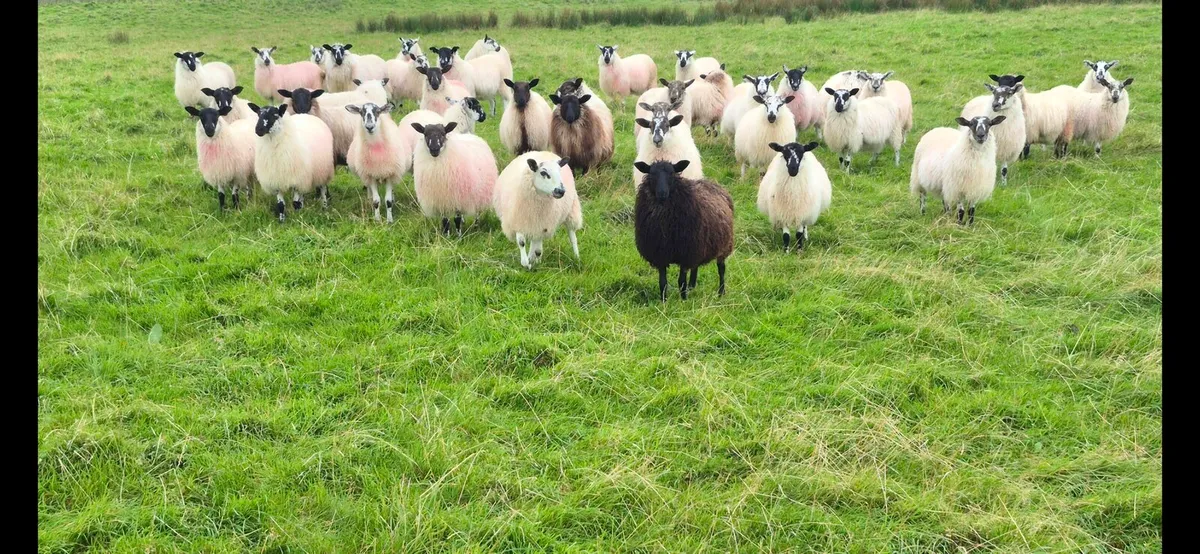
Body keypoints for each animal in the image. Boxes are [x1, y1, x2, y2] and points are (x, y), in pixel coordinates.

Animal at [634, 159, 734, 301]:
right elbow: (662, 282)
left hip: (724, 246)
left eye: (672, 173)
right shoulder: (660, 254)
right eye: (652, 174)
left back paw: (721, 292)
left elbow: (681, 281)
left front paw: (683, 300)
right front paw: (663, 301)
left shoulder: (686, 254)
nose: (662, 194)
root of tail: (714, 183)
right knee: (695, 266)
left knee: (721, 269)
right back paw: (692, 286)